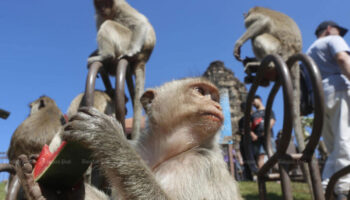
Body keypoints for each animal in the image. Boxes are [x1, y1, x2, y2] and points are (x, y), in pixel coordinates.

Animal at [88, 0, 157, 139]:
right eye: (100, 3)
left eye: (106, 3)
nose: (103, 8)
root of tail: (144, 57)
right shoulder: (99, 16)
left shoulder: (121, 6)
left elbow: (141, 23)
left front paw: (131, 51)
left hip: (126, 40)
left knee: (109, 24)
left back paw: (106, 55)